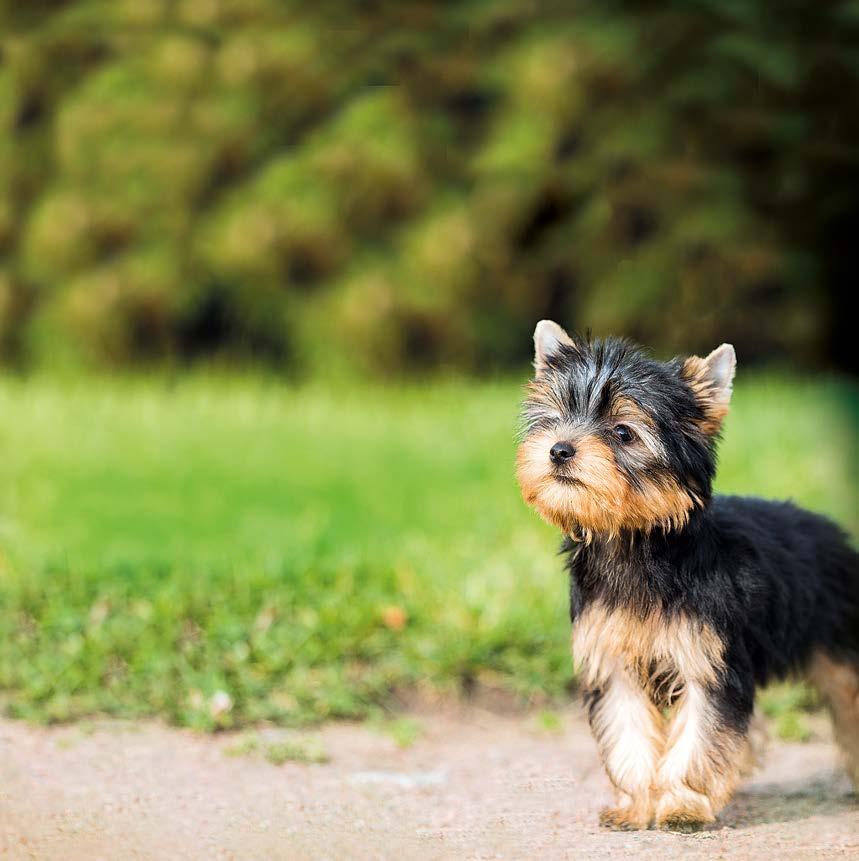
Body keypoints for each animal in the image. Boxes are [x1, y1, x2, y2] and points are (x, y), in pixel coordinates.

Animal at [516, 320, 859, 828]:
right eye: (555, 417)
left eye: (623, 433)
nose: (559, 450)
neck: (637, 540)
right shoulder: (613, 659)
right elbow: (628, 732)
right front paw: (637, 803)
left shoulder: (709, 659)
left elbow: (701, 730)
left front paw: (681, 803)